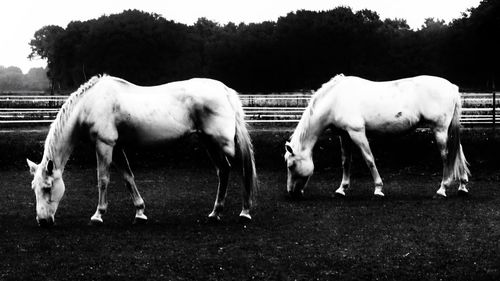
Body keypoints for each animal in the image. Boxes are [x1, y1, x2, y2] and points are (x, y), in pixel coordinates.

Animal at [26, 74, 258, 225]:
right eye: (34, 188)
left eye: (47, 187)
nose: (43, 221)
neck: (90, 103)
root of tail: (224, 90)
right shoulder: (117, 148)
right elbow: (128, 177)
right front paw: (140, 212)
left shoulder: (105, 145)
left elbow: (103, 180)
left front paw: (98, 215)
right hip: (208, 143)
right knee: (224, 171)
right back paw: (215, 213)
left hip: (223, 143)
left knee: (242, 169)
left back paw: (245, 211)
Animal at [286, 73, 468, 198]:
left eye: (291, 166)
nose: (291, 193)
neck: (336, 99)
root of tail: (452, 87)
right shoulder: (345, 136)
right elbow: (346, 161)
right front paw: (341, 189)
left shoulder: (357, 133)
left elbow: (369, 159)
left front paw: (378, 189)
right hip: (447, 131)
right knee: (458, 152)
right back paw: (463, 186)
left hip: (440, 131)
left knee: (447, 156)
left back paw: (442, 189)